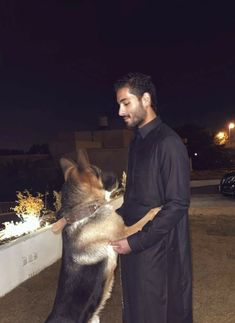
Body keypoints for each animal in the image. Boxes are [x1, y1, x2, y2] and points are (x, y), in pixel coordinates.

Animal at [44, 152, 160, 323]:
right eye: (100, 172)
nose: (119, 177)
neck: (83, 211)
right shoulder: (124, 231)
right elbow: (143, 220)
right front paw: (156, 210)